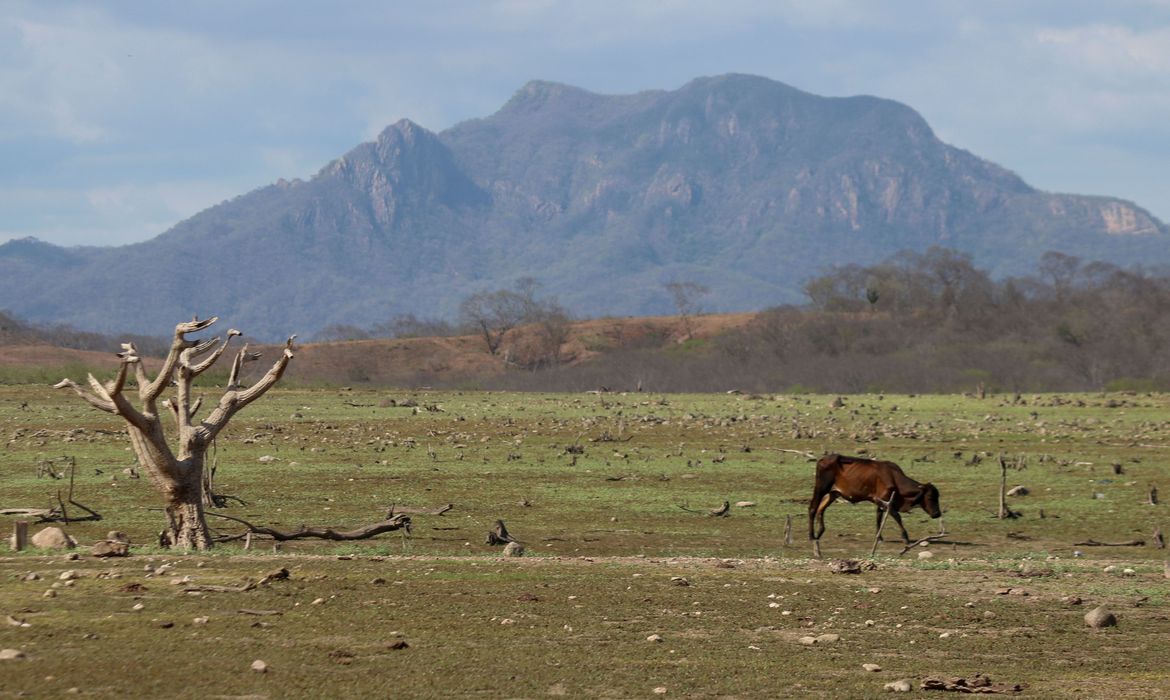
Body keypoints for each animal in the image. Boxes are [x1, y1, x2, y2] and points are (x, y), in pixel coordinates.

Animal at [804, 456, 940, 547]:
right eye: (930, 497)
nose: (937, 513)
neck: (894, 478)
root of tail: (822, 459)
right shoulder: (881, 500)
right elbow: (897, 516)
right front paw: (905, 537)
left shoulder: (881, 502)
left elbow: (878, 518)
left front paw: (879, 537)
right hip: (821, 488)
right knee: (813, 508)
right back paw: (811, 536)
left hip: (833, 493)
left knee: (821, 509)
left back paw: (819, 532)